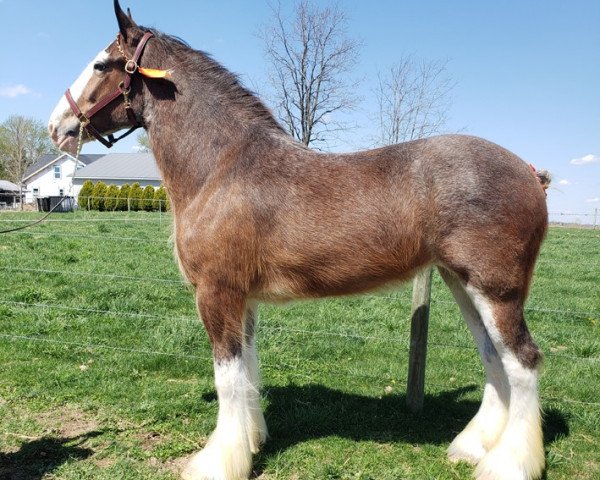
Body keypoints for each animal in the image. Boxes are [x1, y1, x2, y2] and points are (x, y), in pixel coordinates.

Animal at [49, 0, 552, 480]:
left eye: (101, 64)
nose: (57, 126)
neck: (221, 166)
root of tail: (529, 173)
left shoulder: (216, 292)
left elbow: (228, 377)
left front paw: (217, 463)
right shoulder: (243, 299)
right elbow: (248, 370)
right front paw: (251, 441)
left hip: (496, 290)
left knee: (523, 362)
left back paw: (509, 465)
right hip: (459, 282)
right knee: (493, 359)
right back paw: (472, 447)